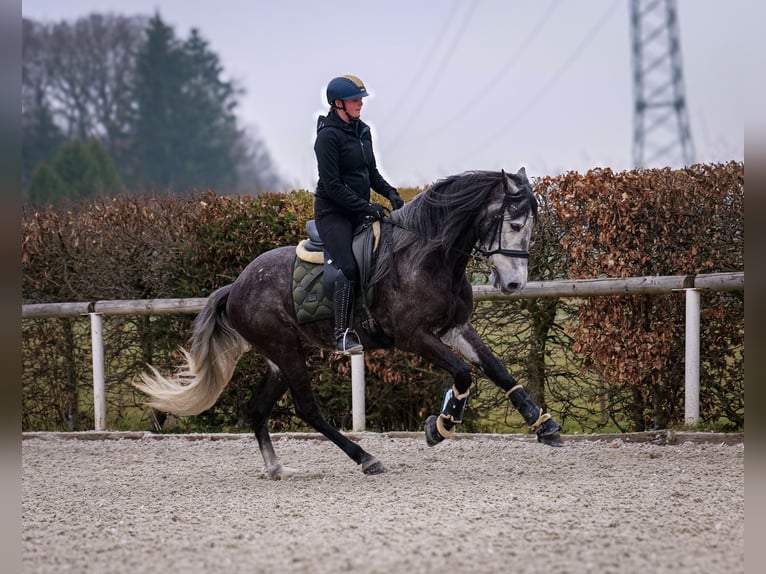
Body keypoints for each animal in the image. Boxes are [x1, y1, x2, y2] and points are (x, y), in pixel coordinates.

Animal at [135, 169, 564, 480]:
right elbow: (462, 374)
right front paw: (441, 424)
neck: (428, 256)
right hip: (287, 351)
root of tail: (236, 285)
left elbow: (497, 370)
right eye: (514, 224)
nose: (514, 285)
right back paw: (366, 458)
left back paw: (276, 467)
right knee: (307, 409)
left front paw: (543, 425)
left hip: (279, 357)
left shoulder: (455, 328)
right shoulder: (414, 336)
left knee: (257, 409)